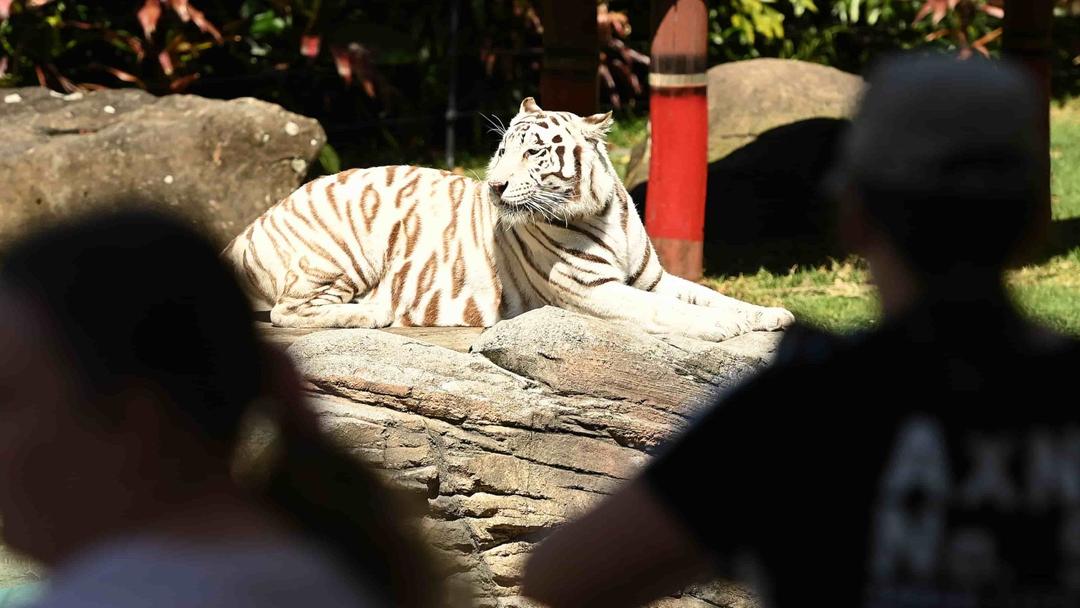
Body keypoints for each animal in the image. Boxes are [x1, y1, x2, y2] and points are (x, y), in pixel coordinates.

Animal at [221, 97, 794, 341]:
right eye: (501, 150)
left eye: (534, 152)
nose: (495, 185)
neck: (605, 212)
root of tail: (250, 227)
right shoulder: (594, 292)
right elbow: (666, 311)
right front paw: (723, 327)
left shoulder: (652, 277)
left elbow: (708, 294)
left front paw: (769, 314)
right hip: (345, 248)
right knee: (286, 312)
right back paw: (371, 313)